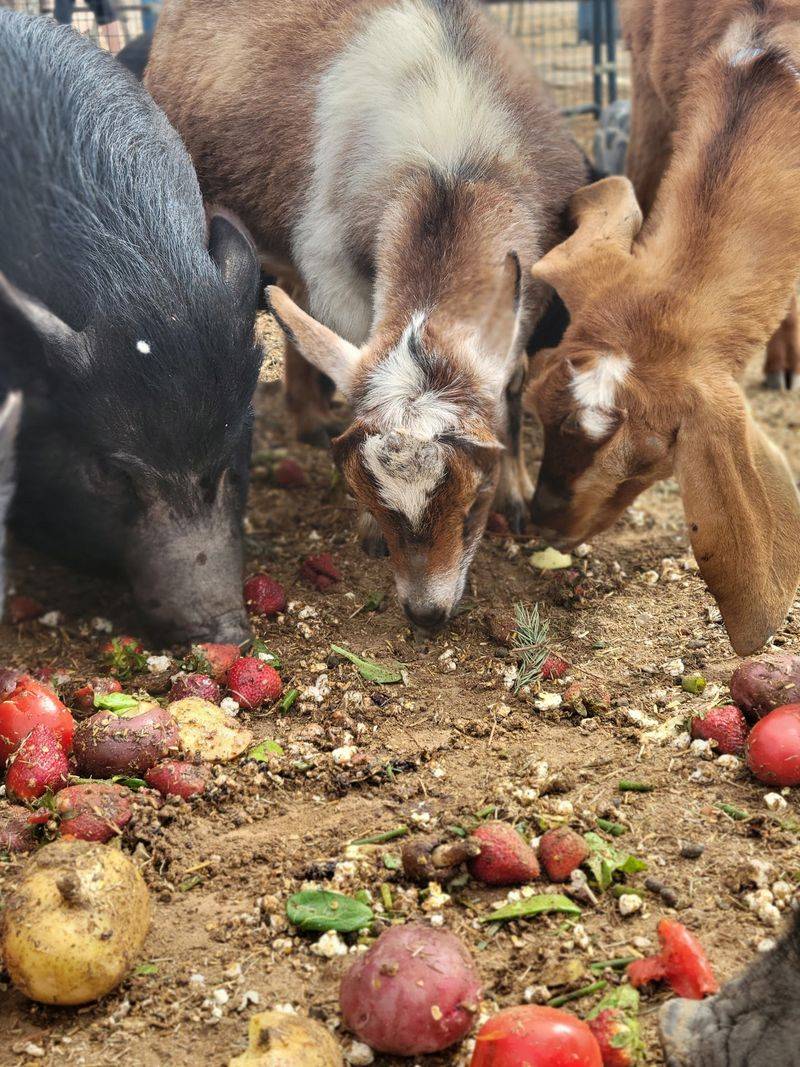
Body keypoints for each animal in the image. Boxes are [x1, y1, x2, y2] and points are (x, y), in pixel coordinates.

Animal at [145, 0, 588, 628]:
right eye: (364, 494)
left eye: (475, 502)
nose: (426, 612)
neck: (450, 171)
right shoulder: (335, 264)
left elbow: (515, 386)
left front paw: (518, 496)